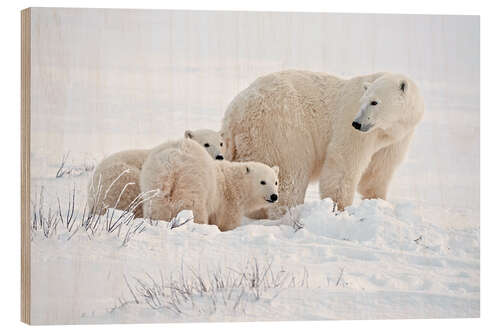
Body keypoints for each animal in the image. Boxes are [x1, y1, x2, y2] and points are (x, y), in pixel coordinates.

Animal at [141, 137, 280, 231]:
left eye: (276, 182)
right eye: (262, 182)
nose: (274, 196)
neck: (232, 182)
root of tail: (172, 162)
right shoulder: (228, 202)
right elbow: (226, 222)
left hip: (154, 181)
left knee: (156, 208)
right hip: (192, 181)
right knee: (194, 208)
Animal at [221, 68, 424, 217]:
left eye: (374, 102)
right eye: (364, 101)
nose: (356, 123)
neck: (388, 129)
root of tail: (234, 114)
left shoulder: (395, 139)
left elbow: (378, 171)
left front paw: (377, 202)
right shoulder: (352, 127)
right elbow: (343, 162)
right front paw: (338, 209)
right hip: (282, 131)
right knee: (290, 174)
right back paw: (286, 213)